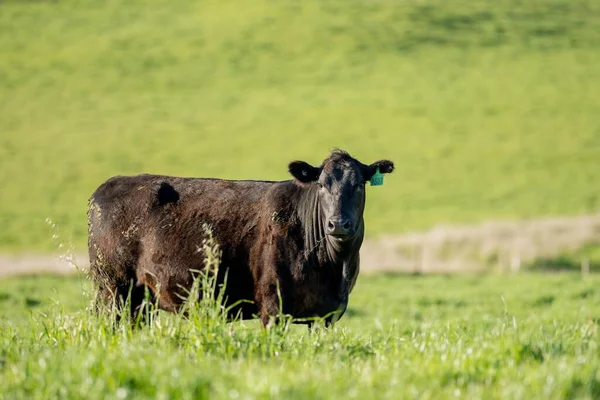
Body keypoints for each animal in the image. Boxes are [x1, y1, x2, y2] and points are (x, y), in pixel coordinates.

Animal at [86, 148, 392, 326]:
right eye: (321, 185)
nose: (337, 223)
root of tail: (108, 185)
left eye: (359, 184)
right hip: (112, 288)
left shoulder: (327, 315)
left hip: (139, 300)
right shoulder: (272, 305)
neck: (334, 267)